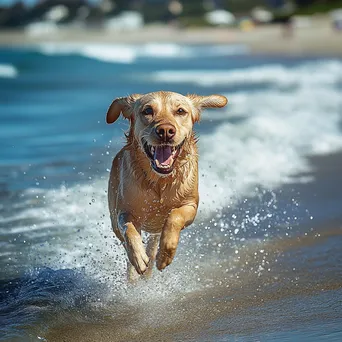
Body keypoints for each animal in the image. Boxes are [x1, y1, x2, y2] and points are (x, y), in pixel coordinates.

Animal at [106, 91, 227, 280]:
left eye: (180, 111)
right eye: (147, 110)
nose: (165, 131)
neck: (161, 181)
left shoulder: (190, 205)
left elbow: (174, 217)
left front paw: (164, 255)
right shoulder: (124, 211)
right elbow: (128, 229)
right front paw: (139, 257)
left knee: (154, 242)